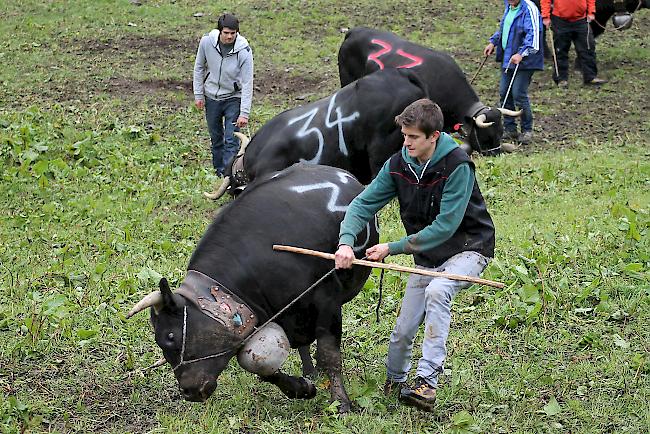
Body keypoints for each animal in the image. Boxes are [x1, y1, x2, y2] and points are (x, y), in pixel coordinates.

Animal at [128, 163, 378, 410]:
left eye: (171, 336)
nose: (189, 391)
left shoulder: (327, 300)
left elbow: (329, 354)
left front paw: (341, 403)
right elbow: (259, 365)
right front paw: (301, 388)